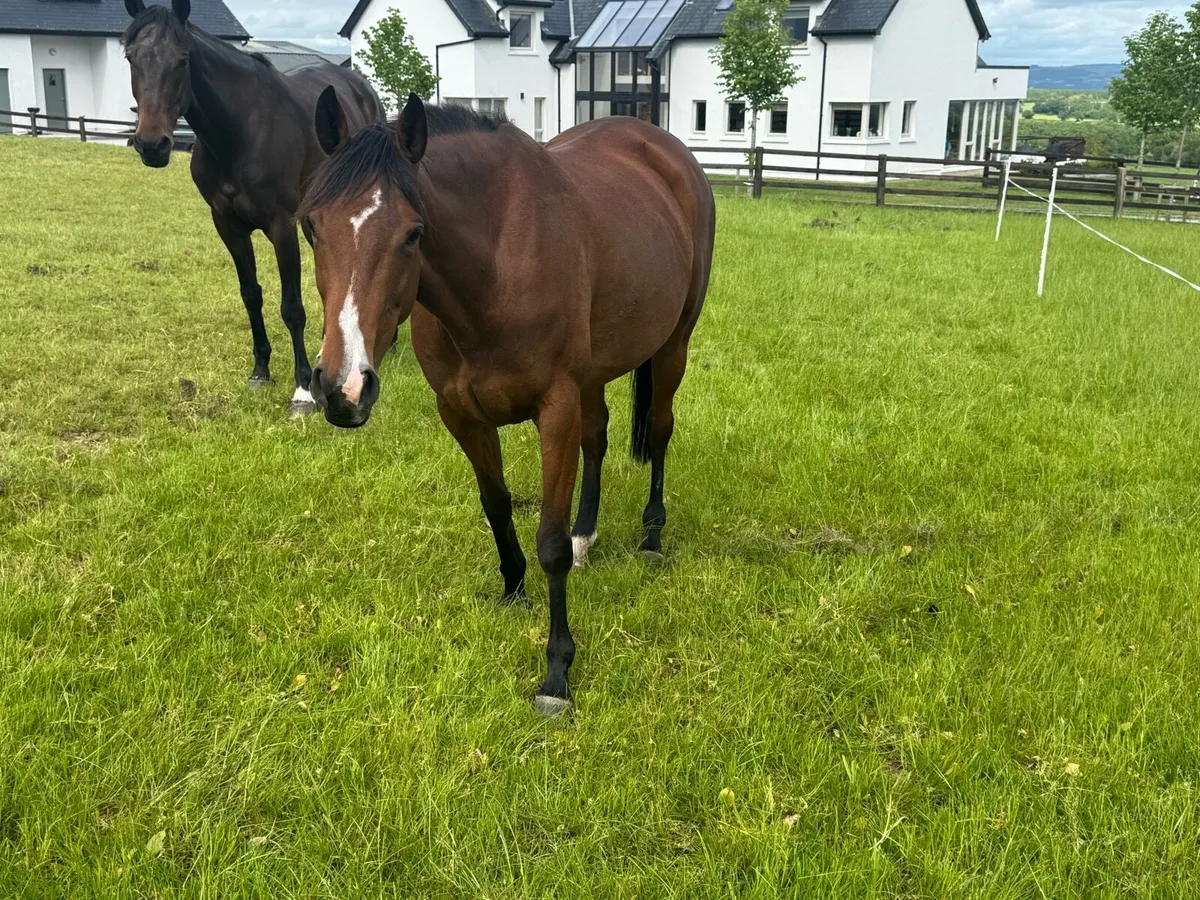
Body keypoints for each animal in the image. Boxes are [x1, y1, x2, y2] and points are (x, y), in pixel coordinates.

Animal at [121, 0, 384, 414]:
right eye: (131, 57)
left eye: (182, 60)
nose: (152, 145)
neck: (239, 130)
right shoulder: (227, 224)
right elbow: (251, 294)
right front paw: (261, 369)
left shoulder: (281, 225)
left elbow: (291, 306)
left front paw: (302, 390)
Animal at [296, 91, 715, 715]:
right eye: (312, 228)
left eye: (413, 234)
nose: (342, 386)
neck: (494, 270)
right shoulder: (460, 413)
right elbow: (496, 505)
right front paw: (515, 589)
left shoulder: (556, 408)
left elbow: (550, 543)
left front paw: (557, 672)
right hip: (595, 374)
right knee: (598, 437)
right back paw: (588, 533)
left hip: (672, 346)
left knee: (659, 429)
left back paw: (652, 537)